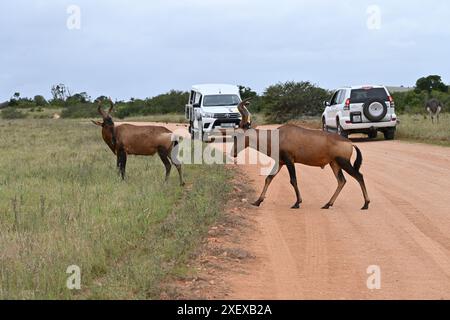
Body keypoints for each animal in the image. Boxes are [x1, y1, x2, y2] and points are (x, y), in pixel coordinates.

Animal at [232, 99, 370, 210]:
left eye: (237, 134)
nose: (233, 153)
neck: (280, 135)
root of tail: (350, 143)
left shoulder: (289, 161)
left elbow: (293, 180)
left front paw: (297, 203)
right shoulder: (280, 162)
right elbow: (269, 178)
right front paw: (257, 201)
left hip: (343, 162)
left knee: (359, 176)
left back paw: (365, 204)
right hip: (334, 164)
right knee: (341, 181)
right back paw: (327, 204)